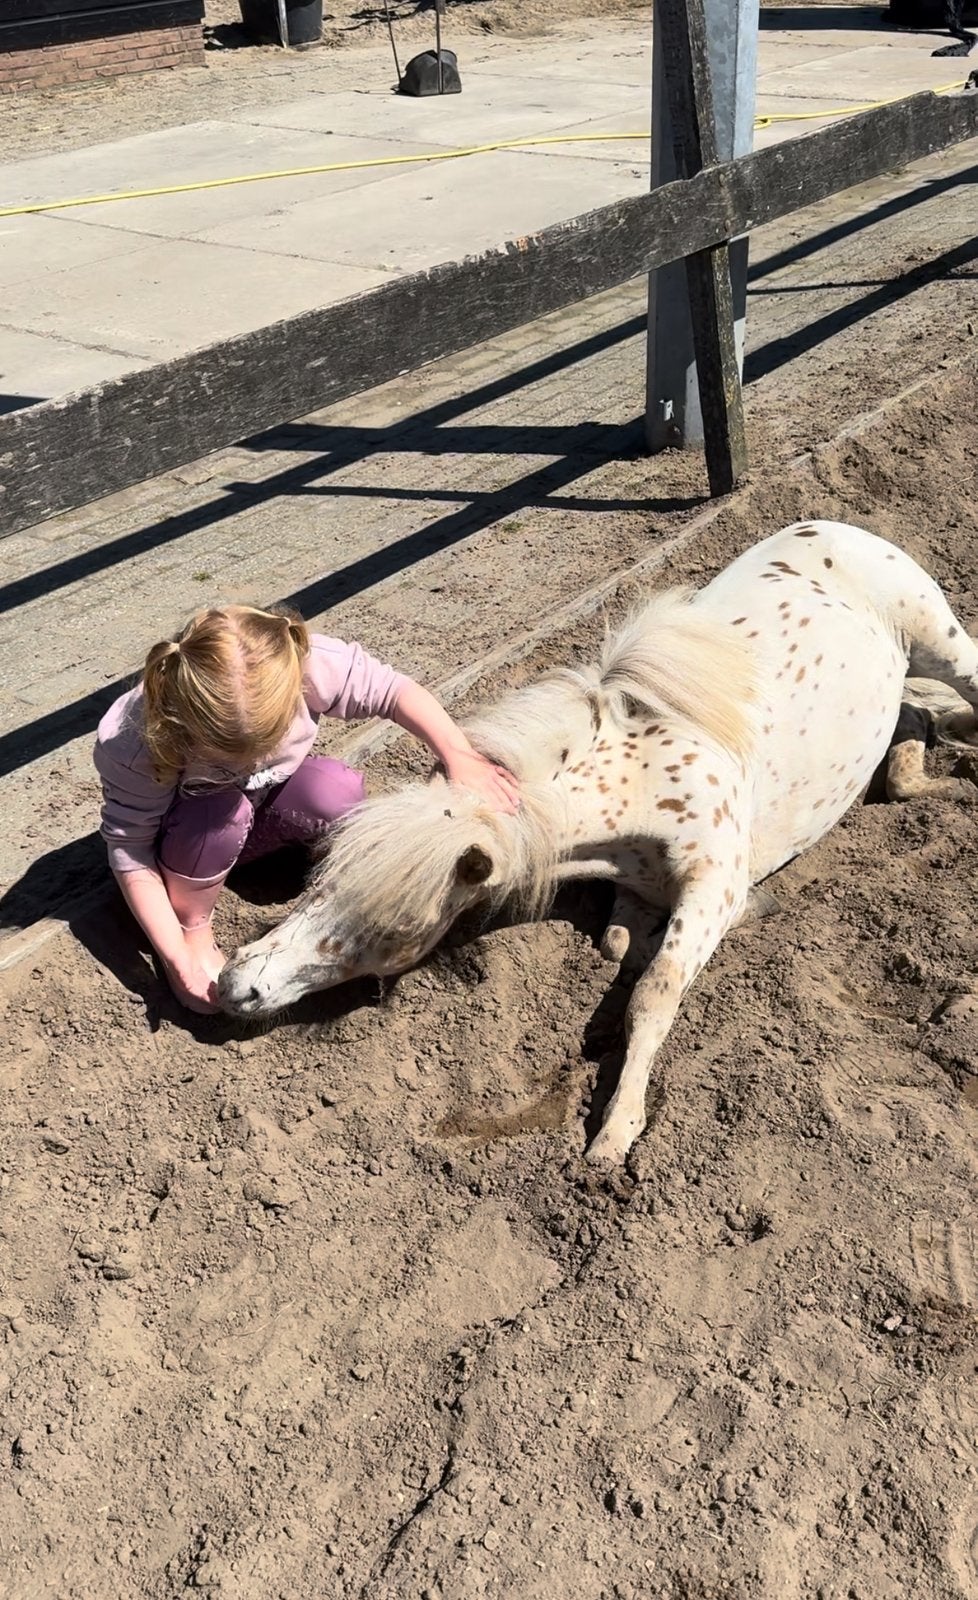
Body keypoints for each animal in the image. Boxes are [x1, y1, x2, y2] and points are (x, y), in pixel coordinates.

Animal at [217, 521, 978, 1167]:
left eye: (388, 927)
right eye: (319, 882)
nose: (236, 984)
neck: (636, 776)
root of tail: (833, 527)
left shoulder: (714, 885)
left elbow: (655, 990)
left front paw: (615, 1131)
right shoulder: (637, 888)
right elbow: (621, 947)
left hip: (943, 643)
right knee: (911, 723)